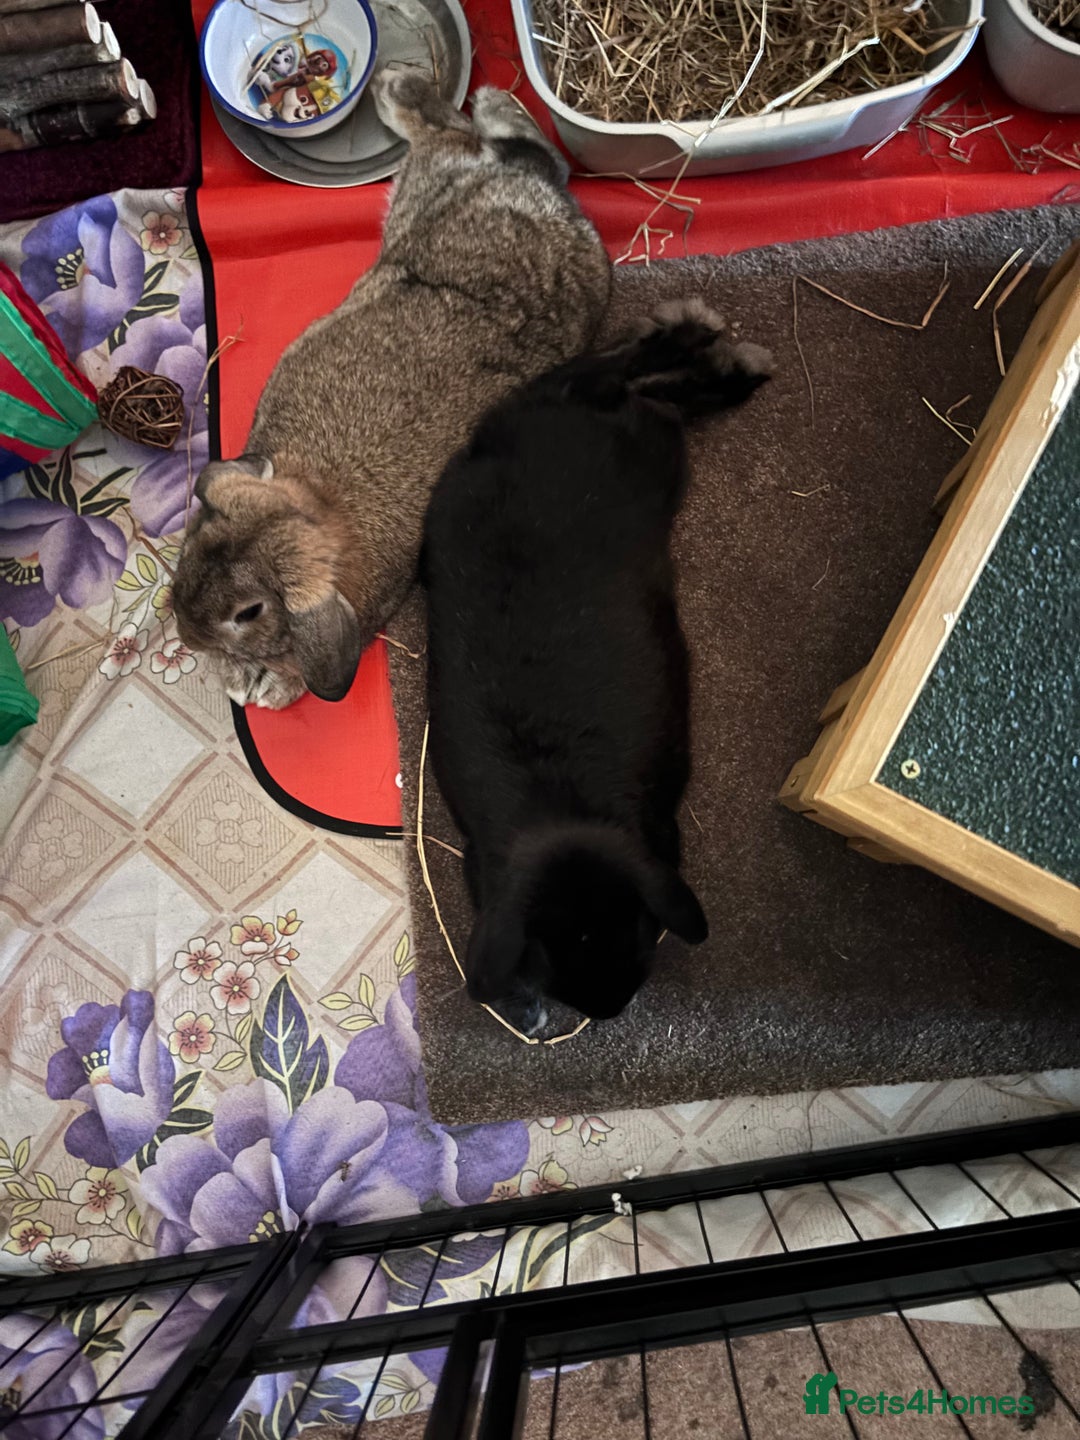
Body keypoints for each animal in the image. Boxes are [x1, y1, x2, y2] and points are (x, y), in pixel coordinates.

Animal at [172, 67, 611, 709]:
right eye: (196, 543)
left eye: (248, 613)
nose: (182, 628)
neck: (316, 506)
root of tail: (540, 197)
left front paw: (262, 686)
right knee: (492, 144)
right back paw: (438, 94)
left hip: (427, 188)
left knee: (462, 138)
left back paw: (405, 90)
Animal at [422, 298, 772, 1034]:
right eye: (553, 959)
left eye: (634, 934)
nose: (609, 1010)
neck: (566, 809)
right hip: (626, 433)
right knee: (621, 375)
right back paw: (709, 350)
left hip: (646, 447)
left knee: (626, 376)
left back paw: (718, 354)